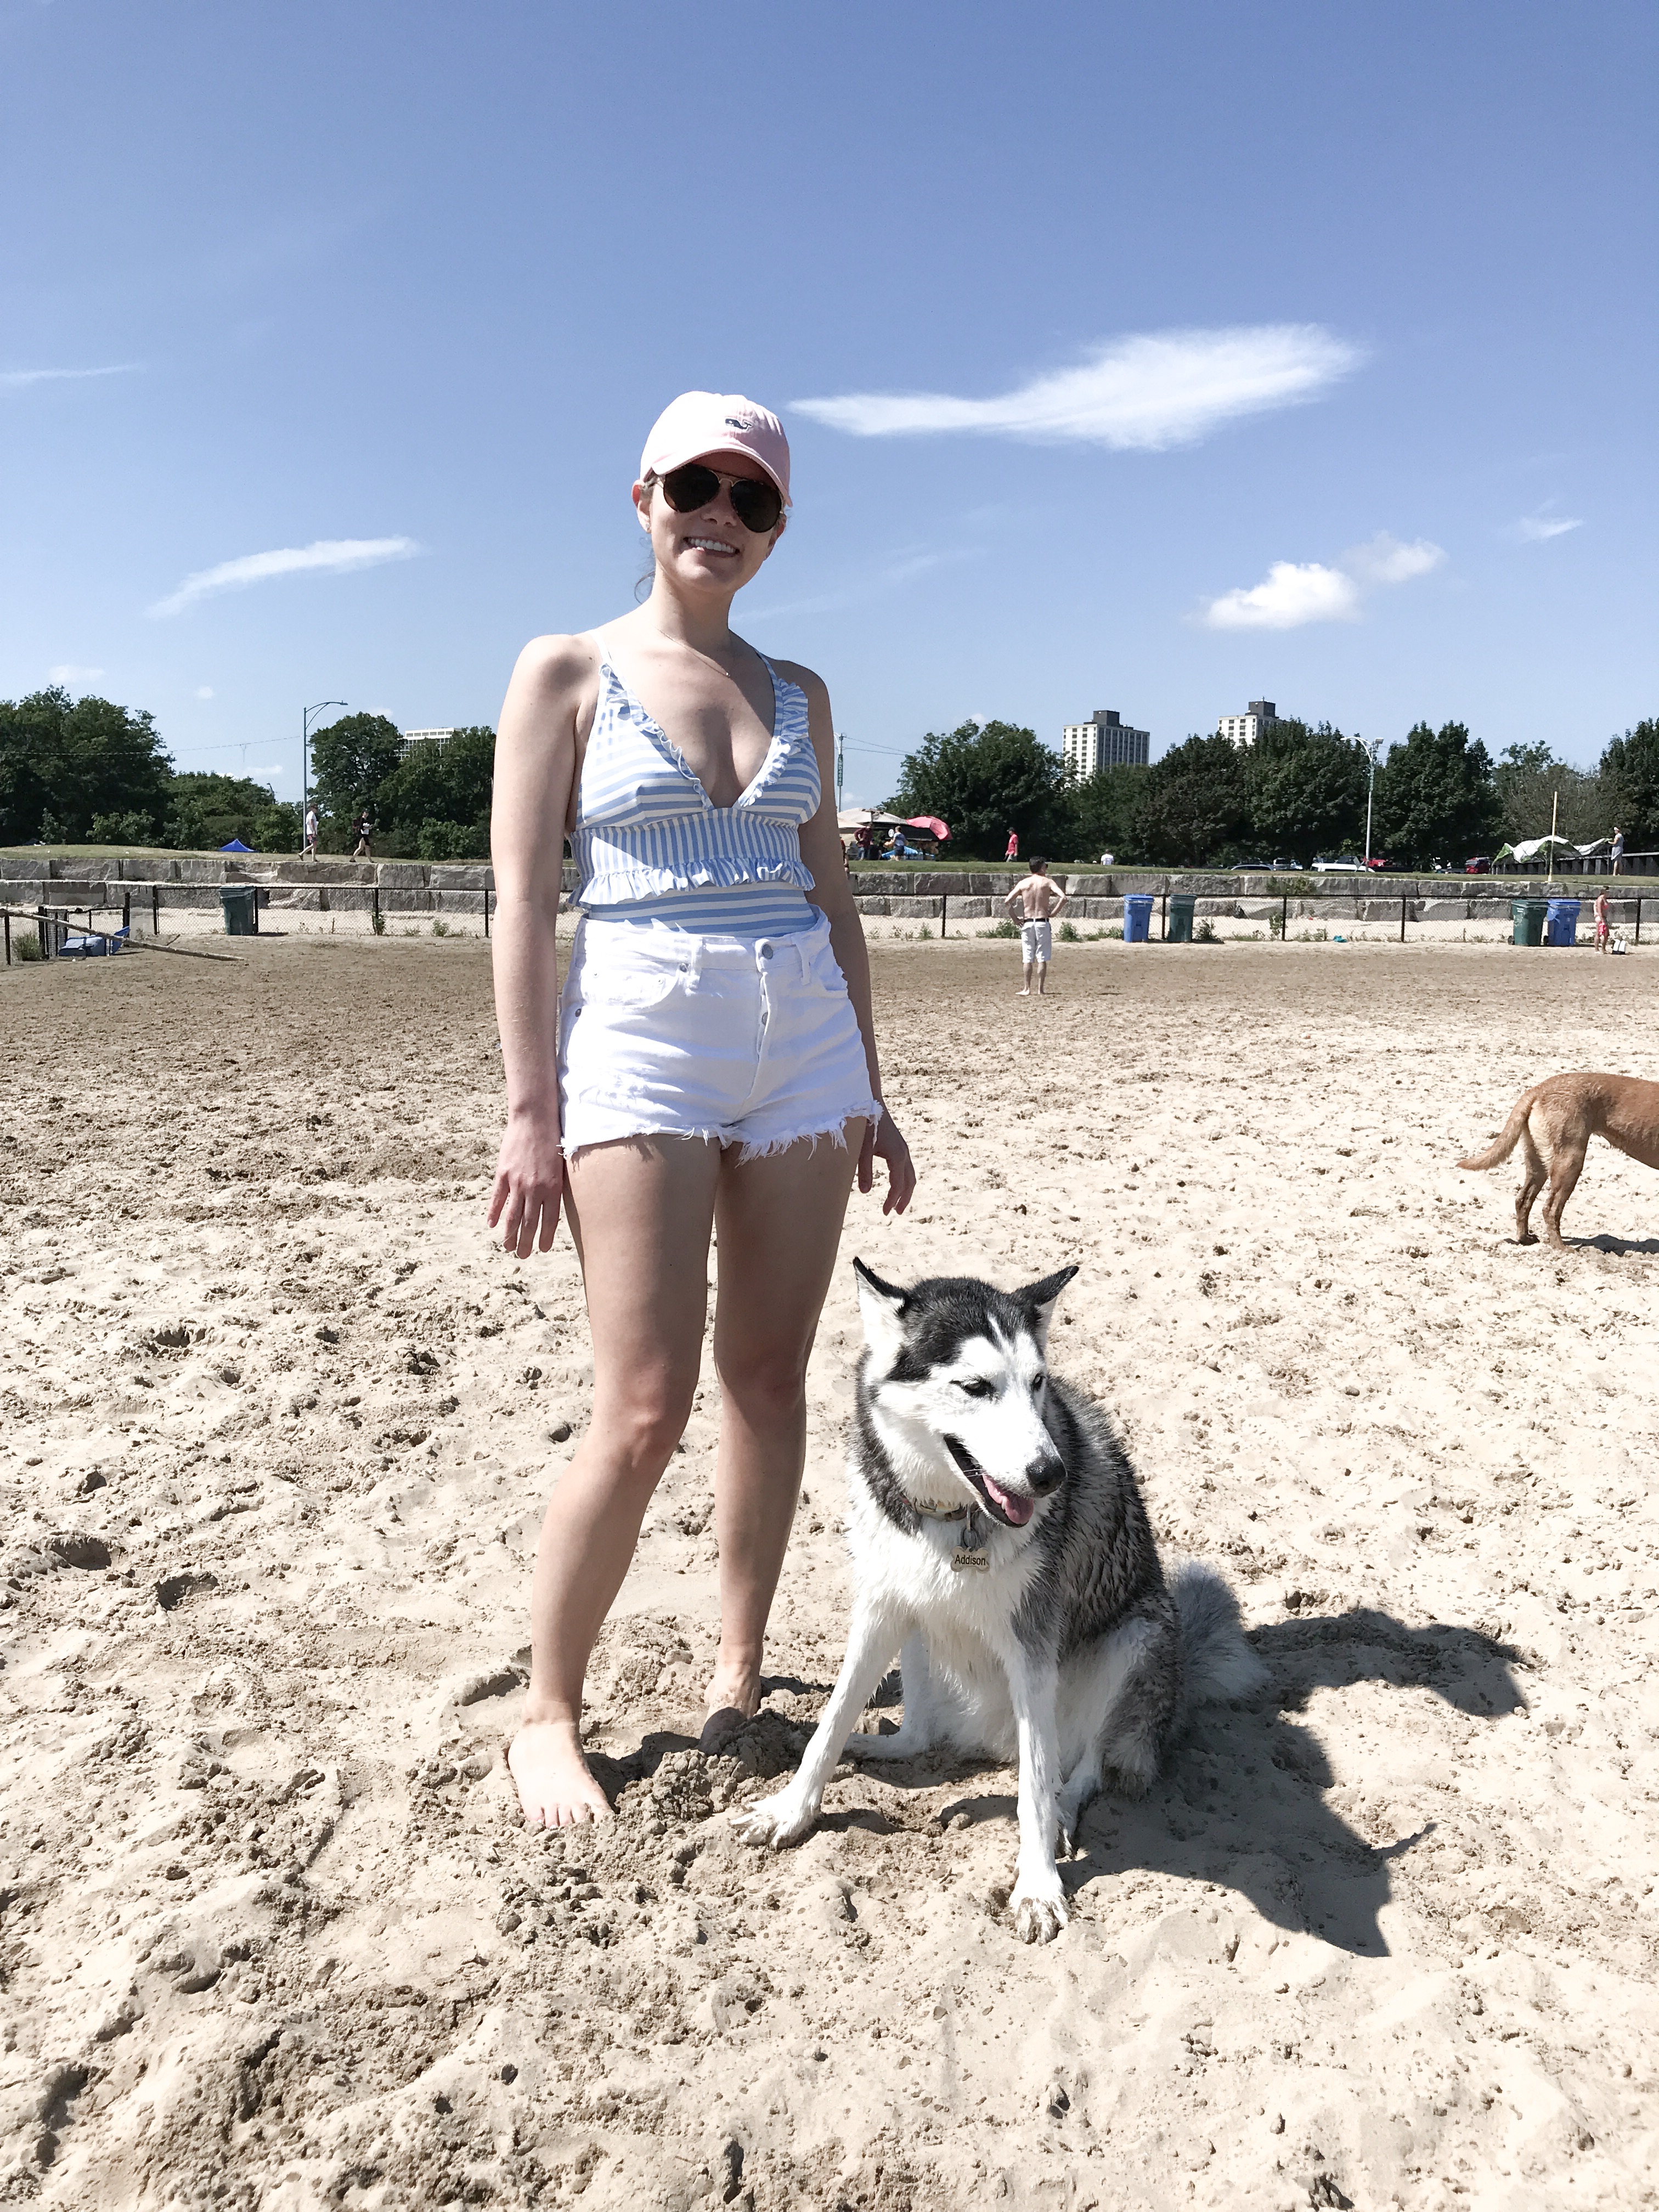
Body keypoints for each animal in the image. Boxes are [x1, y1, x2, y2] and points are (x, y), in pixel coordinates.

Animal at [734, 1265, 1265, 1938]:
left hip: (1137, 1640)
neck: (953, 1517)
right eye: (976, 1386)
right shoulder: (880, 1609)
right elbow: (830, 1722)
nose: (1050, 1474)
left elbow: (1034, 1788)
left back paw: (1064, 1809)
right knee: (921, 1736)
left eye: (1037, 1382)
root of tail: (991, 1738)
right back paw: (881, 1743)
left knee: (1083, 1768)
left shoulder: (1032, 1650)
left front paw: (1037, 1886)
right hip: (919, 1631)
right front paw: (792, 1809)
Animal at [1460, 1070, 1659, 1248]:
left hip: (1538, 1161)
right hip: (1570, 1161)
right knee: (1550, 1209)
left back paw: (1525, 1238)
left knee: (1523, 1200)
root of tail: (1539, 1088)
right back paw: (1561, 1247)